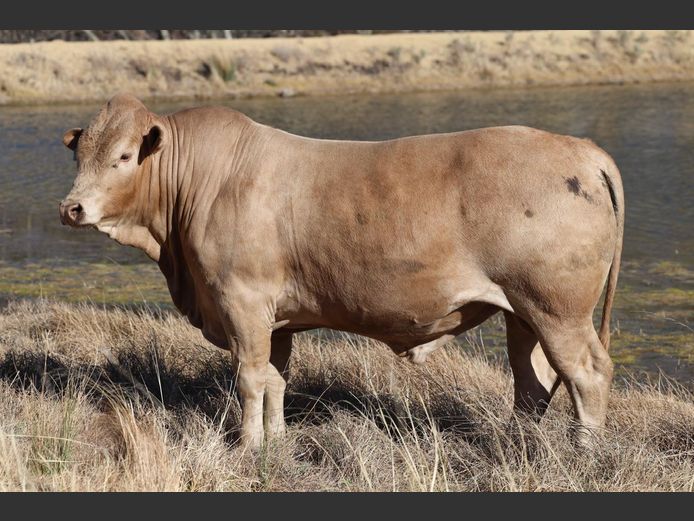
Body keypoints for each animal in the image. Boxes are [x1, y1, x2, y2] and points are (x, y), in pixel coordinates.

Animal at [59, 93, 624, 449]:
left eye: (124, 156)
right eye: (80, 155)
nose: (72, 208)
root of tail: (580, 148)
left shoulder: (241, 302)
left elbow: (249, 378)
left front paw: (247, 445)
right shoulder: (276, 319)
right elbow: (275, 378)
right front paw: (276, 440)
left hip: (557, 309)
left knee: (586, 373)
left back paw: (585, 450)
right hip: (522, 312)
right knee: (533, 381)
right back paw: (518, 442)